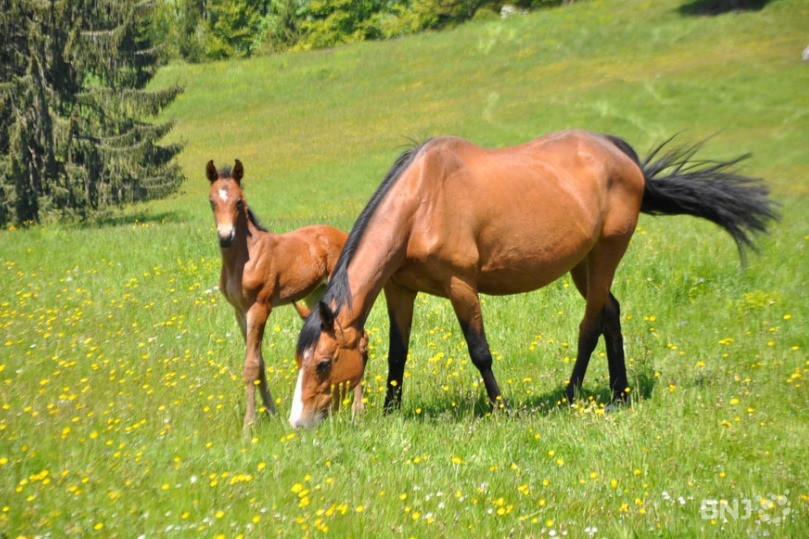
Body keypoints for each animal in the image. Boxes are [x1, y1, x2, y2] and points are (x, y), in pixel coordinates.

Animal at [204, 159, 346, 430]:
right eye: (212, 201)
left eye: (239, 201)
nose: (225, 237)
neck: (243, 259)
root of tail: (341, 234)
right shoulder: (240, 312)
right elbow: (258, 362)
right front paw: (270, 412)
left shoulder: (260, 306)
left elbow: (250, 365)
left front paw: (249, 425)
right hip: (315, 295)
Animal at [288, 129, 772, 428]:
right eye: (300, 362)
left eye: (323, 363)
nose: (299, 422)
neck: (423, 202)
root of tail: (621, 155)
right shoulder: (399, 289)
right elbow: (397, 355)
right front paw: (391, 411)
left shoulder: (461, 285)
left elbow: (480, 351)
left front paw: (501, 409)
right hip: (584, 262)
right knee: (611, 313)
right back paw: (619, 393)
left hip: (607, 252)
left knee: (590, 324)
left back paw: (572, 395)